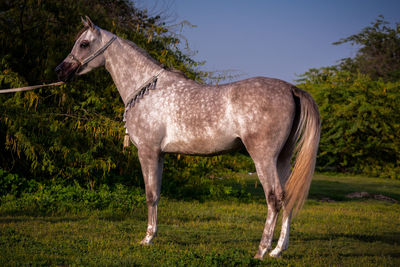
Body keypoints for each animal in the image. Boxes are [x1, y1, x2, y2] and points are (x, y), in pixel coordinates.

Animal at [54, 16, 320, 260]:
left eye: (84, 44)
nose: (61, 71)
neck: (148, 90)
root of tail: (291, 89)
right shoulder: (160, 154)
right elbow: (157, 194)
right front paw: (153, 235)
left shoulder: (147, 152)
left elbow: (149, 194)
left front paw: (146, 239)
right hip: (282, 158)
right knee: (286, 197)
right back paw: (277, 250)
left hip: (263, 157)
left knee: (274, 198)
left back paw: (262, 250)